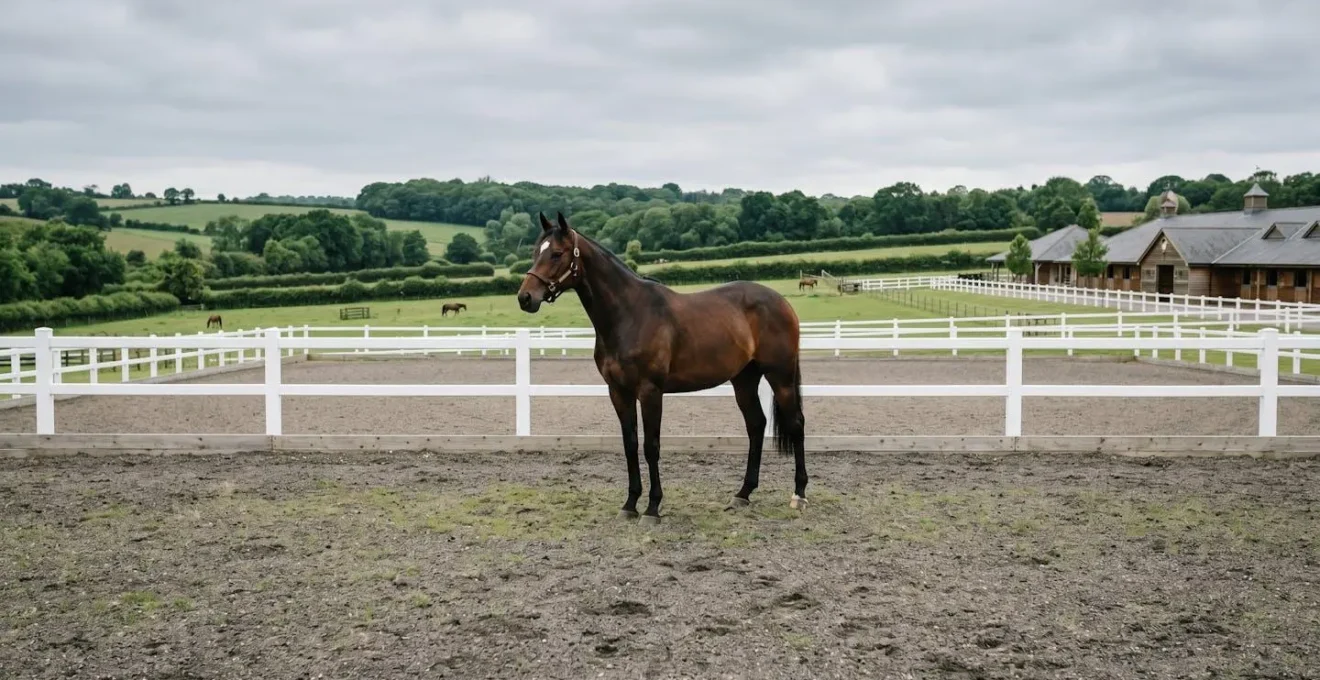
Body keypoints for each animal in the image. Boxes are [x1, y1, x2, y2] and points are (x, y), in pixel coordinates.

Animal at [517, 212, 808, 525]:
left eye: (557, 253)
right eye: (535, 252)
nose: (525, 297)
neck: (629, 315)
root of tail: (782, 302)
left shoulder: (650, 391)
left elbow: (651, 447)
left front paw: (652, 508)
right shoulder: (618, 392)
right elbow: (630, 445)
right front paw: (630, 504)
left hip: (780, 376)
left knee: (796, 423)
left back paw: (799, 494)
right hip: (744, 380)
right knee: (756, 425)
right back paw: (743, 494)